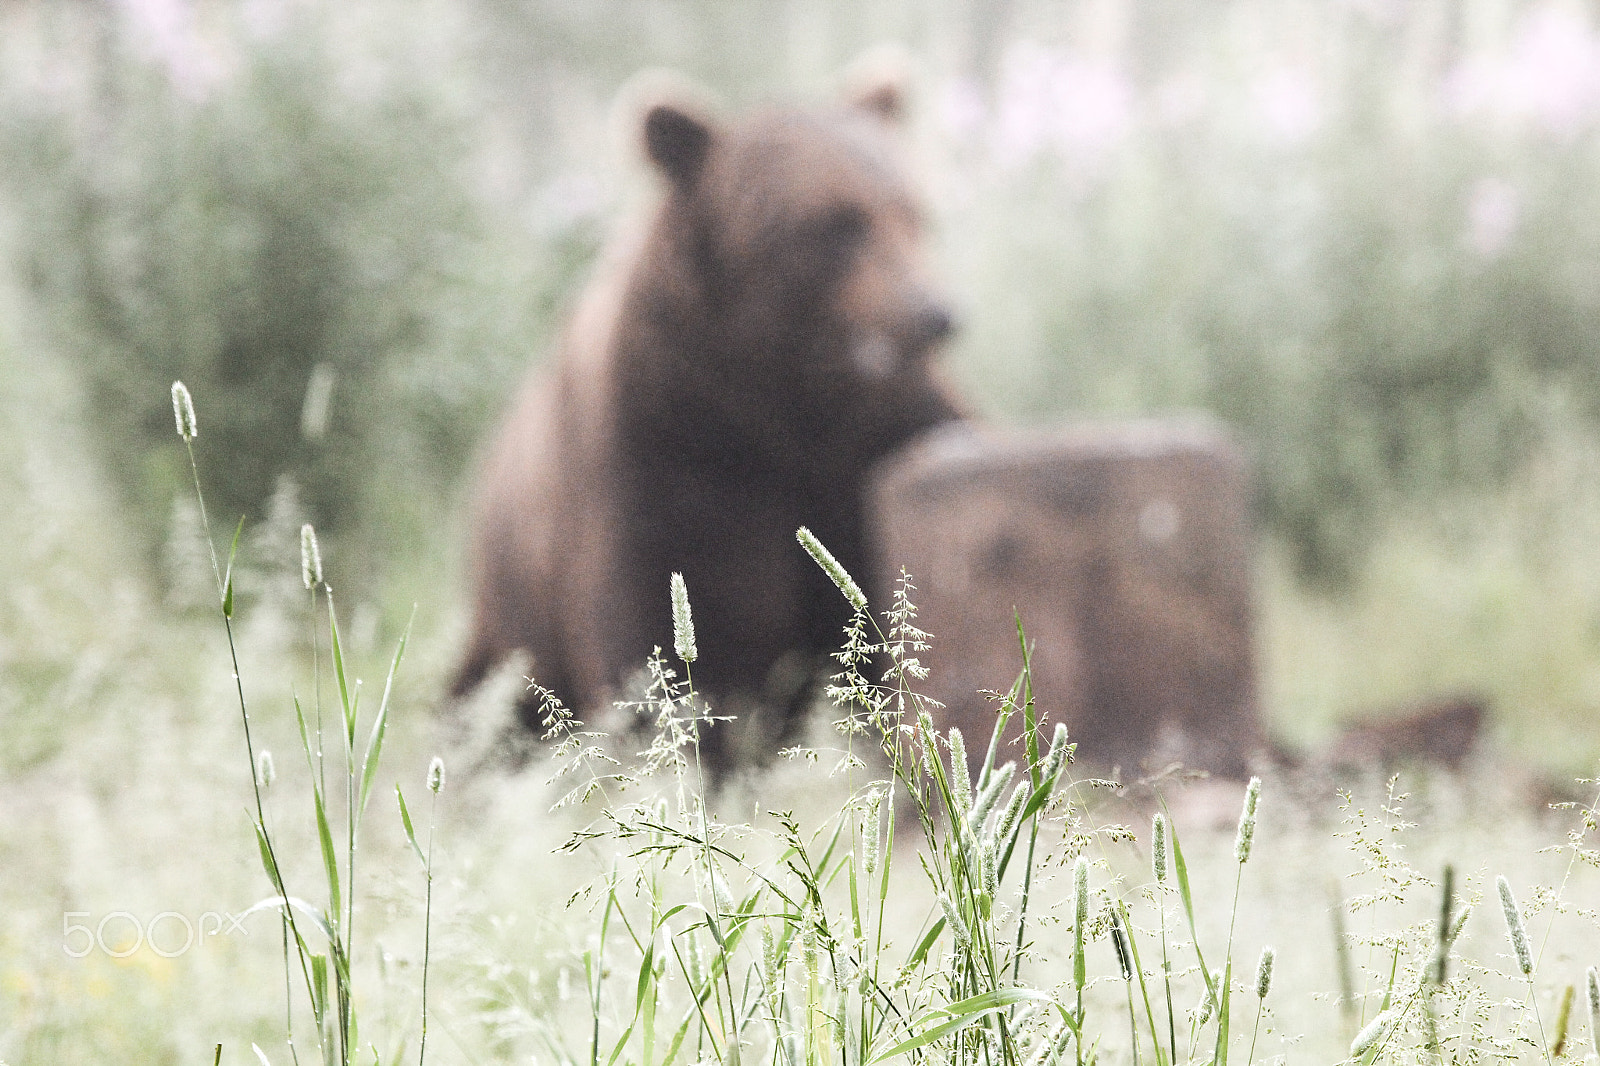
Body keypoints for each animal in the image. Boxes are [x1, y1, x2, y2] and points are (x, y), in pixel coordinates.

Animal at [450, 71, 965, 773]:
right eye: (834, 224)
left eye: (913, 211)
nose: (935, 314)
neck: (782, 402)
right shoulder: (659, 449)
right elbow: (648, 630)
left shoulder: (871, 447)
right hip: (513, 616)